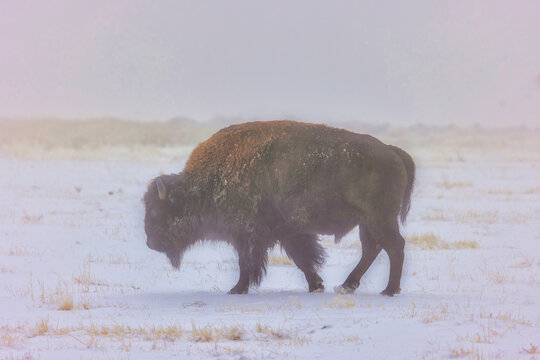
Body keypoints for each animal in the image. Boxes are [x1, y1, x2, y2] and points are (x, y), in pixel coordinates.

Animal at [142, 121, 414, 296]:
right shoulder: (288, 233)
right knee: (372, 249)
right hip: (367, 222)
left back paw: (389, 290)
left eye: (155, 210)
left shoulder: (247, 235)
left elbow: (246, 262)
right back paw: (347, 286)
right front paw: (316, 285)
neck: (207, 182)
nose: (150, 243)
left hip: (379, 219)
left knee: (394, 246)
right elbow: (303, 259)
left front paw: (237, 289)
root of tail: (392, 151)